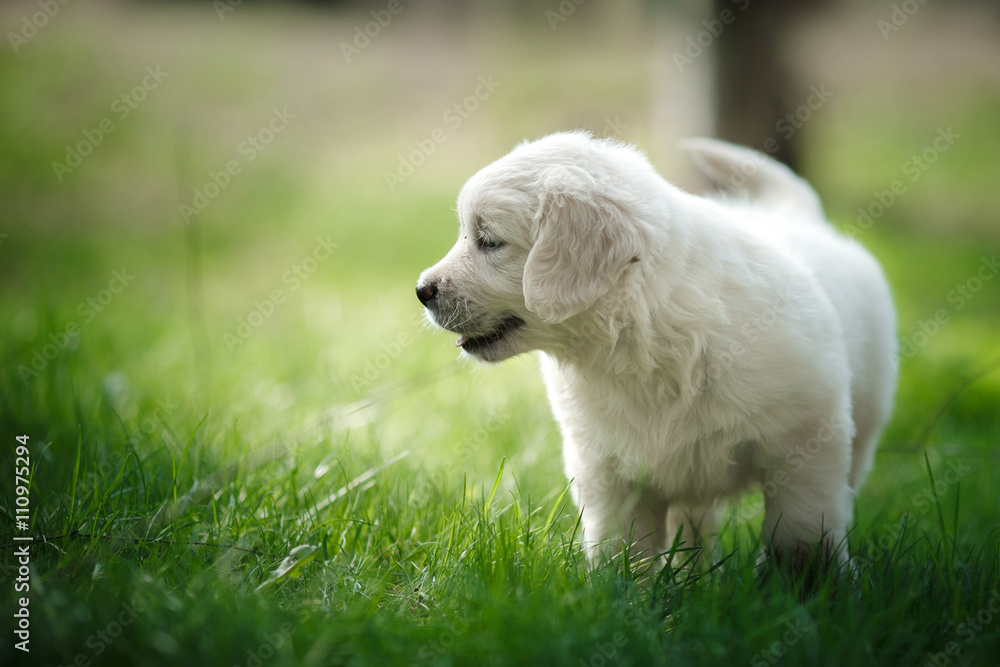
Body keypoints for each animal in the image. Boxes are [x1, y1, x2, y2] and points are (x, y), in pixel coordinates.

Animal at [416, 133, 900, 572]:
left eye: (489, 240)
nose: (422, 290)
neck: (640, 338)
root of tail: (801, 218)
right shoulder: (607, 469)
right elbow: (621, 550)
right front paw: (622, 598)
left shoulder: (806, 441)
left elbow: (801, 532)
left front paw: (810, 588)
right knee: (695, 520)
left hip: (864, 424)